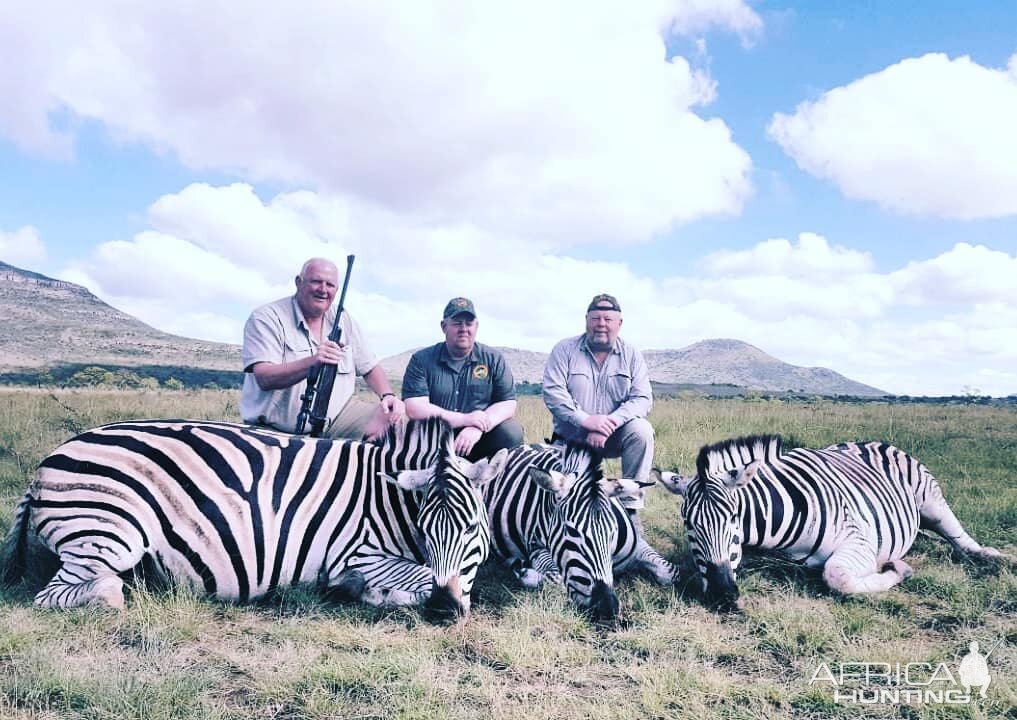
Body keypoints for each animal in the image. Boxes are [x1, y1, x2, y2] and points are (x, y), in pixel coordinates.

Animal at [0, 416, 504, 618]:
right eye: (426, 530)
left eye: (472, 529)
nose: (443, 611)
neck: (389, 499)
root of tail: (46, 462)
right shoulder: (356, 553)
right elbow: (416, 578)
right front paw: (364, 593)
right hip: (110, 532)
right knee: (84, 592)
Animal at [482, 441, 675, 622]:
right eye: (570, 531)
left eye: (612, 531)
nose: (607, 608)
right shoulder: (535, 546)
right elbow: (555, 577)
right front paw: (525, 572)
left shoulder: (637, 545)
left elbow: (671, 572)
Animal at [650, 433, 1000, 606]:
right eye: (689, 525)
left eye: (735, 518)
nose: (723, 594)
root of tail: (872, 441)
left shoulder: (859, 540)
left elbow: (837, 576)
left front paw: (898, 569)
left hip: (931, 501)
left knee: (959, 536)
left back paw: (995, 557)